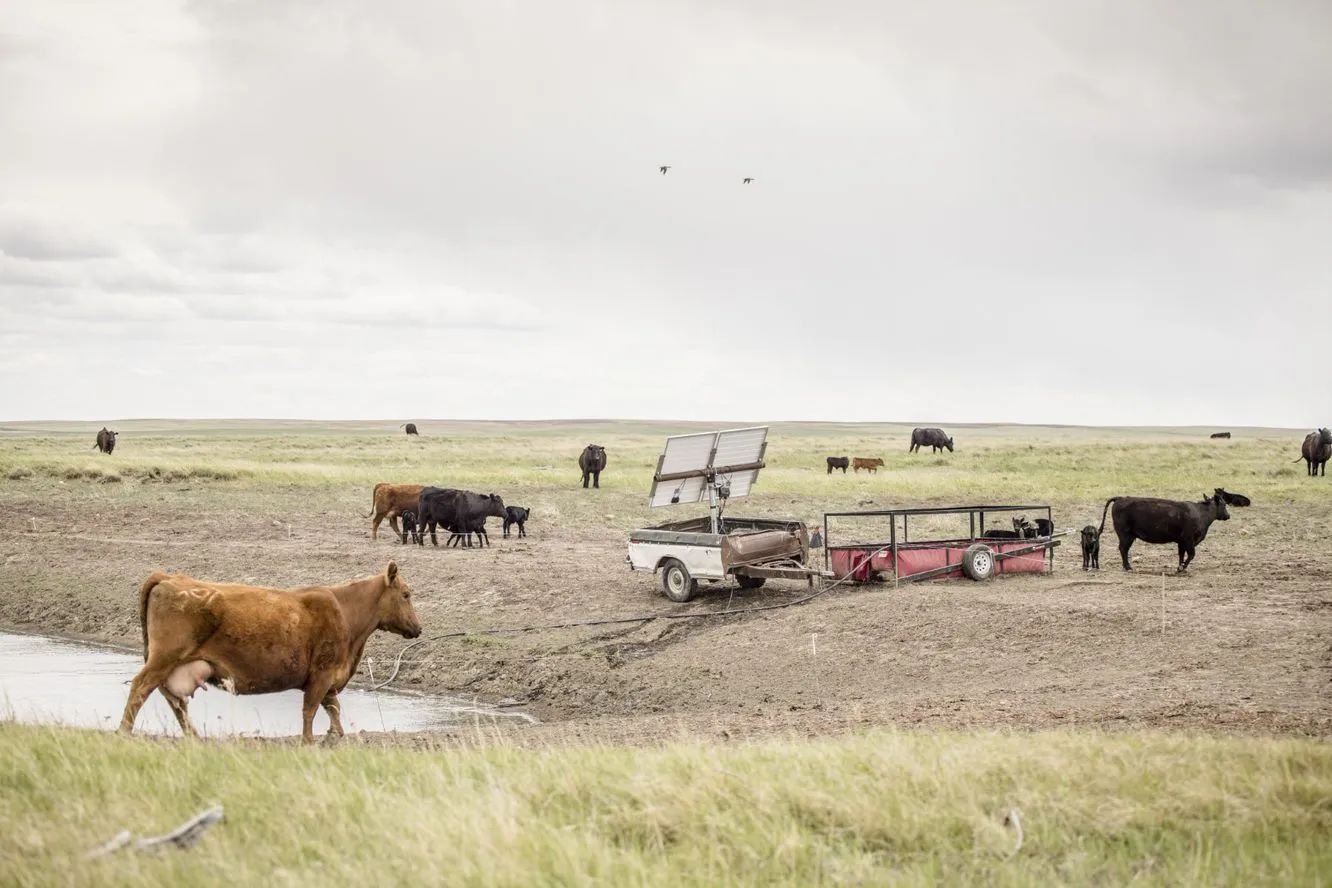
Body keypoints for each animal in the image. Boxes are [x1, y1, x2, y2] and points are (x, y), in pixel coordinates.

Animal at [121, 561, 420, 745]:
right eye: (406, 594)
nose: (418, 628)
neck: (345, 612)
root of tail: (169, 578)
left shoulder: (328, 678)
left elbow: (333, 708)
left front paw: (336, 735)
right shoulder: (321, 674)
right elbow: (311, 709)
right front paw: (308, 741)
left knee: (174, 700)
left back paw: (193, 736)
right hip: (163, 659)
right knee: (140, 689)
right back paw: (124, 731)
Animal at [1097, 489, 1230, 572]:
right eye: (1224, 505)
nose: (1228, 516)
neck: (1201, 513)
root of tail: (1121, 498)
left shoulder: (1181, 542)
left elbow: (1181, 555)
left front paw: (1180, 568)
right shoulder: (1188, 540)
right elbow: (1191, 554)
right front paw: (1182, 568)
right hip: (1126, 535)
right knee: (1123, 549)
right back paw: (1128, 567)